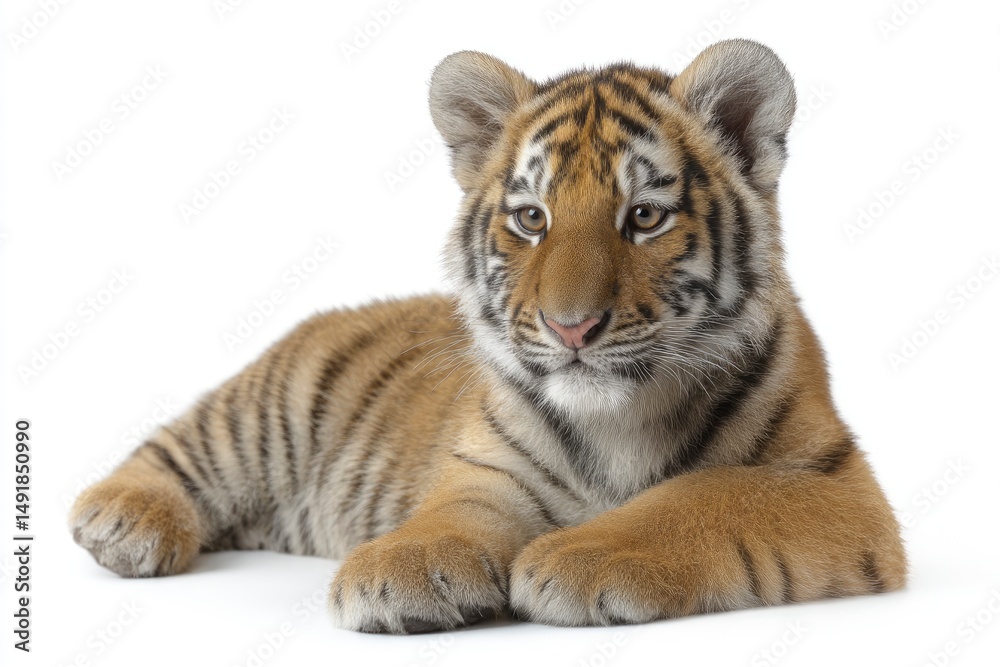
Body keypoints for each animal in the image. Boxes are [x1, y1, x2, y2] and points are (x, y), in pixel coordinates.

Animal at [70, 38, 906, 633]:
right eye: (531, 218)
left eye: (643, 216)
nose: (572, 326)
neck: (619, 420)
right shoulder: (485, 466)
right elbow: (454, 512)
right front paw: (402, 569)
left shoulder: (841, 488)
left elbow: (710, 491)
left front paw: (577, 555)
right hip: (269, 407)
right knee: (176, 448)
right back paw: (125, 521)